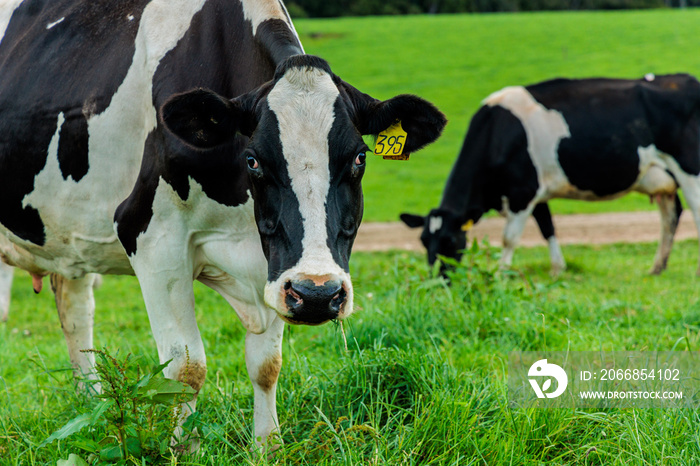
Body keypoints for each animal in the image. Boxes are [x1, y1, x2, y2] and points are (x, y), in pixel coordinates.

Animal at [0, 0, 446, 452]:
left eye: (359, 158)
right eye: (254, 159)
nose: (317, 294)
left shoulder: (271, 261)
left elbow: (267, 364)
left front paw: (269, 446)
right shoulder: (152, 238)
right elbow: (186, 367)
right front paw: (182, 449)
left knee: (74, 308)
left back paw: (89, 409)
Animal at [400, 74, 700, 274]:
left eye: (450, 240)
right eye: (423, 241)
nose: (439, 279)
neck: (497, 133)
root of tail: (680, 79)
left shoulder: (523, 192)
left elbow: (509, 237)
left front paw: (500, 275)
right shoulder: (535, 192)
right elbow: (548, 228)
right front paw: (558, 269)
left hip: (689, 169)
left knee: (694, 210)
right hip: (662, 177)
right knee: (671, 215)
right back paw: (657, 267)